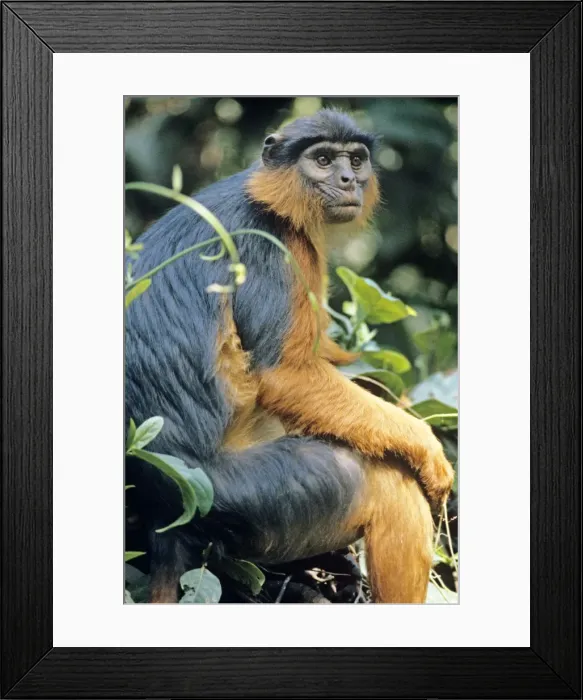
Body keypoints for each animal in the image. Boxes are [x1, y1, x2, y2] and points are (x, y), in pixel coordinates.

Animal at [125, 109, 454, 604]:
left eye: (355, 161)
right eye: (322, 161)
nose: (347, 180)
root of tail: (165, 514)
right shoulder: (274, 245)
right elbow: (286, 375)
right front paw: (428, 448)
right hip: (253, 497)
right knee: (386, 484)